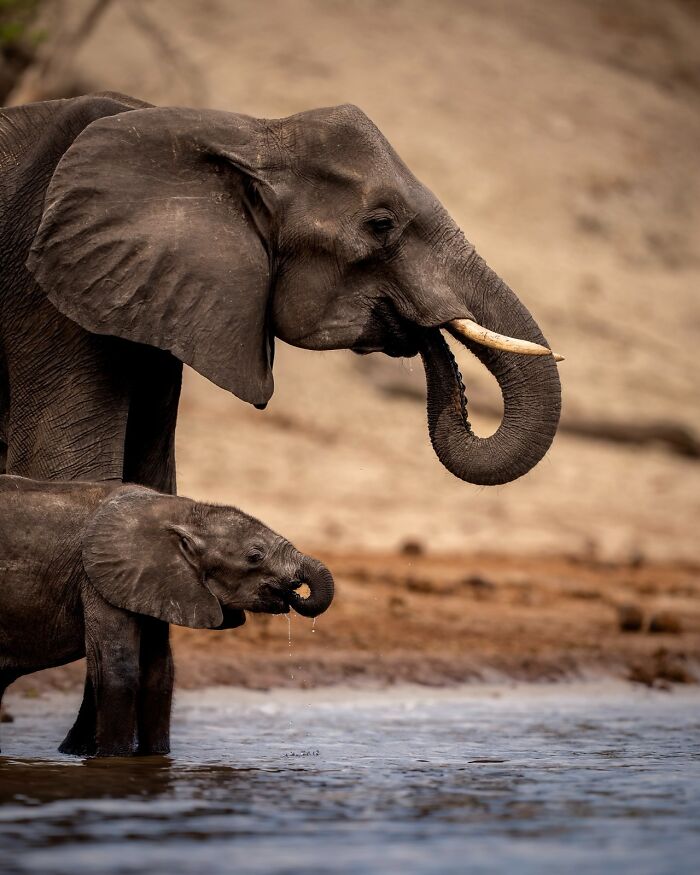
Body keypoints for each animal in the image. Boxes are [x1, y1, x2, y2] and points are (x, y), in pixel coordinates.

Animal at [0, 475, 334, 756]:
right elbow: (119, 670)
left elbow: (159, 672)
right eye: (255, 556)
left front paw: (156, 757)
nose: (293, 592)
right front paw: (114, 759)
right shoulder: (98, 578)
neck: (182, 513)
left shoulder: (152, 582)